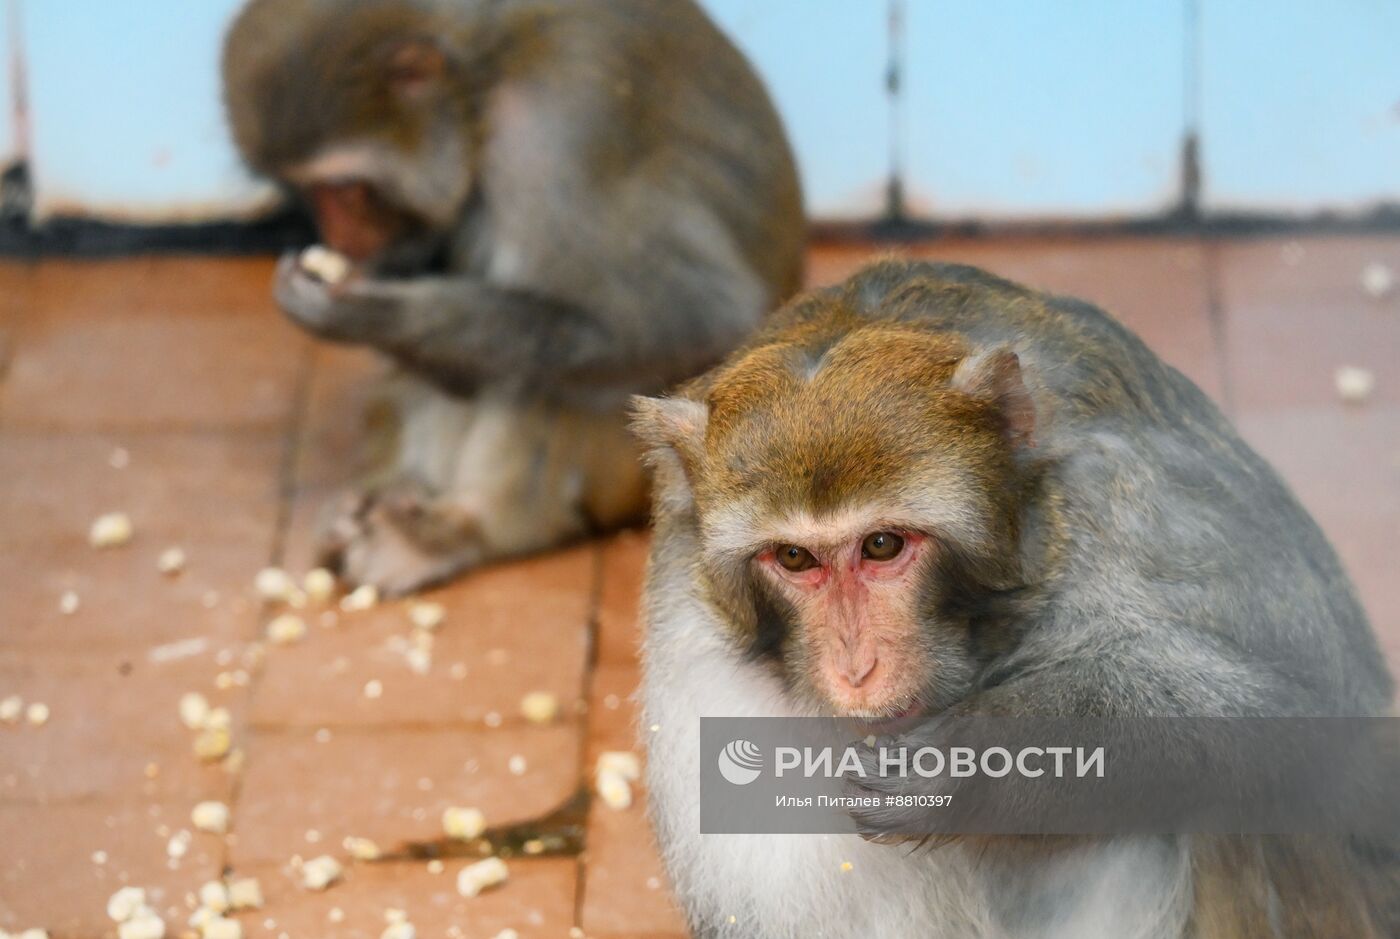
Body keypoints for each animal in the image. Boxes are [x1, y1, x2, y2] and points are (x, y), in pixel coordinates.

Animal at [222, 0, 806, 596]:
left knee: (542, 373)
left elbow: (697, 318)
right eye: (305, 190)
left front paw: (363, 313)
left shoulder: (559, 129)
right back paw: (393, 490)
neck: (483, 76)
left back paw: (458, 531)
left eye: (345, 188)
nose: (341, 240)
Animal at [635, 258, 1400, 939]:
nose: (856, 668)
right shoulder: (689, 637)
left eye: (882, 545)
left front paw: (963, 760)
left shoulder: (1130, 501)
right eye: (794, 558)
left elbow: (1304, 713)